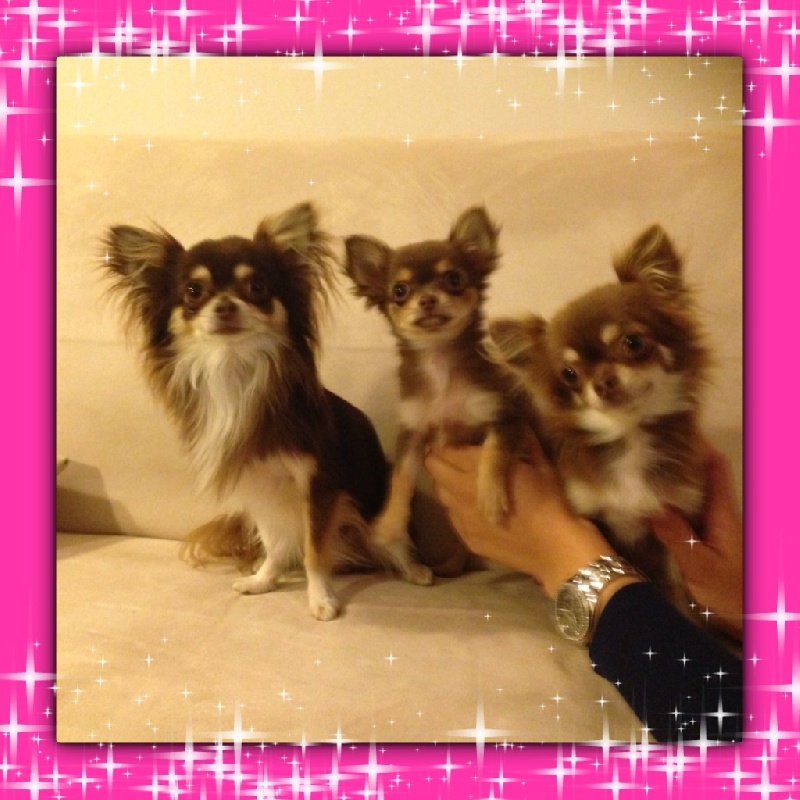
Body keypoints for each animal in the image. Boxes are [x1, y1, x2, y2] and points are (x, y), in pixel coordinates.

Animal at [101, 201, 431, 620]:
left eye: (257, 287)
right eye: (193, 291)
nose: (225, 305)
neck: (235, 367)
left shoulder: (319, 486)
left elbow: (315, 550)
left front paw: (321, 599)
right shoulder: (260, 487)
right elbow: (276, 543)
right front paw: (264, 580)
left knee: (388, 540)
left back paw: (414, 568)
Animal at [343, 206, 529, 568]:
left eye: (454, 279)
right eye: (400, 290)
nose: (428, 299)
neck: (438, 360)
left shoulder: (501, 416)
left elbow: (494, 452)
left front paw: (490, 499)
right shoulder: (414, 432)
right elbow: (401, 478)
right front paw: (390, 525)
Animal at [488, 224, 710, 604]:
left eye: (633, 343)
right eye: (569, 374)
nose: (602, 382)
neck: (630, 435)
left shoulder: (683, 519)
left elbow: (676, 581)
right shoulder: (595, 517)